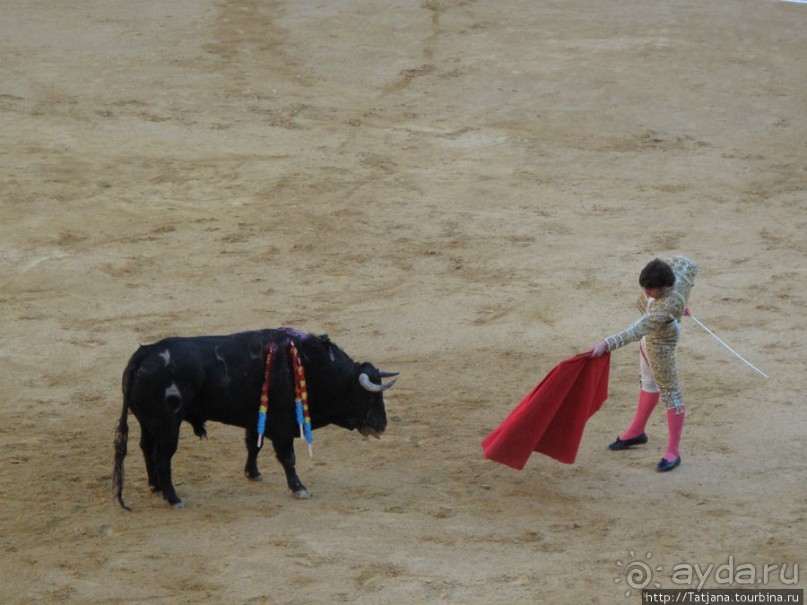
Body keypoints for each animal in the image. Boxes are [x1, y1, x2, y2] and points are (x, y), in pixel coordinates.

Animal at [113, 328, 398, 508]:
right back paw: (173, 498)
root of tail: (143, 354)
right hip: (167, 425)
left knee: (146, 448)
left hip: (148, 422)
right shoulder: (283, 427)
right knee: (163, 457)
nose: (382, 426)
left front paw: (253, 473)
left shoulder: (255, 420)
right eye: (369, 397)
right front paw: (299, 488)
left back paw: (155, 486)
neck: (312, 366)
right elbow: (288, 458)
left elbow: (253, 446)